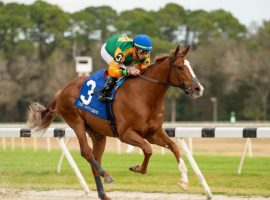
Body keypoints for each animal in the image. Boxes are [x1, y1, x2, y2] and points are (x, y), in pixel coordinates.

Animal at [26, 45, 202, 200]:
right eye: (180, 67)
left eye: (190, 66)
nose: (198, 88)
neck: (145, 95)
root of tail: (62, 90)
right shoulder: (125, 133)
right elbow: (148, 149)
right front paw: (137, 168)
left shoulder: (153, 132)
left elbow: (173, 146)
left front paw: (184, 180)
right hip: (76, 121)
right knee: (86, 152)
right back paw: (107, 175)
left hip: (97, 134)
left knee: (95, 158)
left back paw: (103, 194)